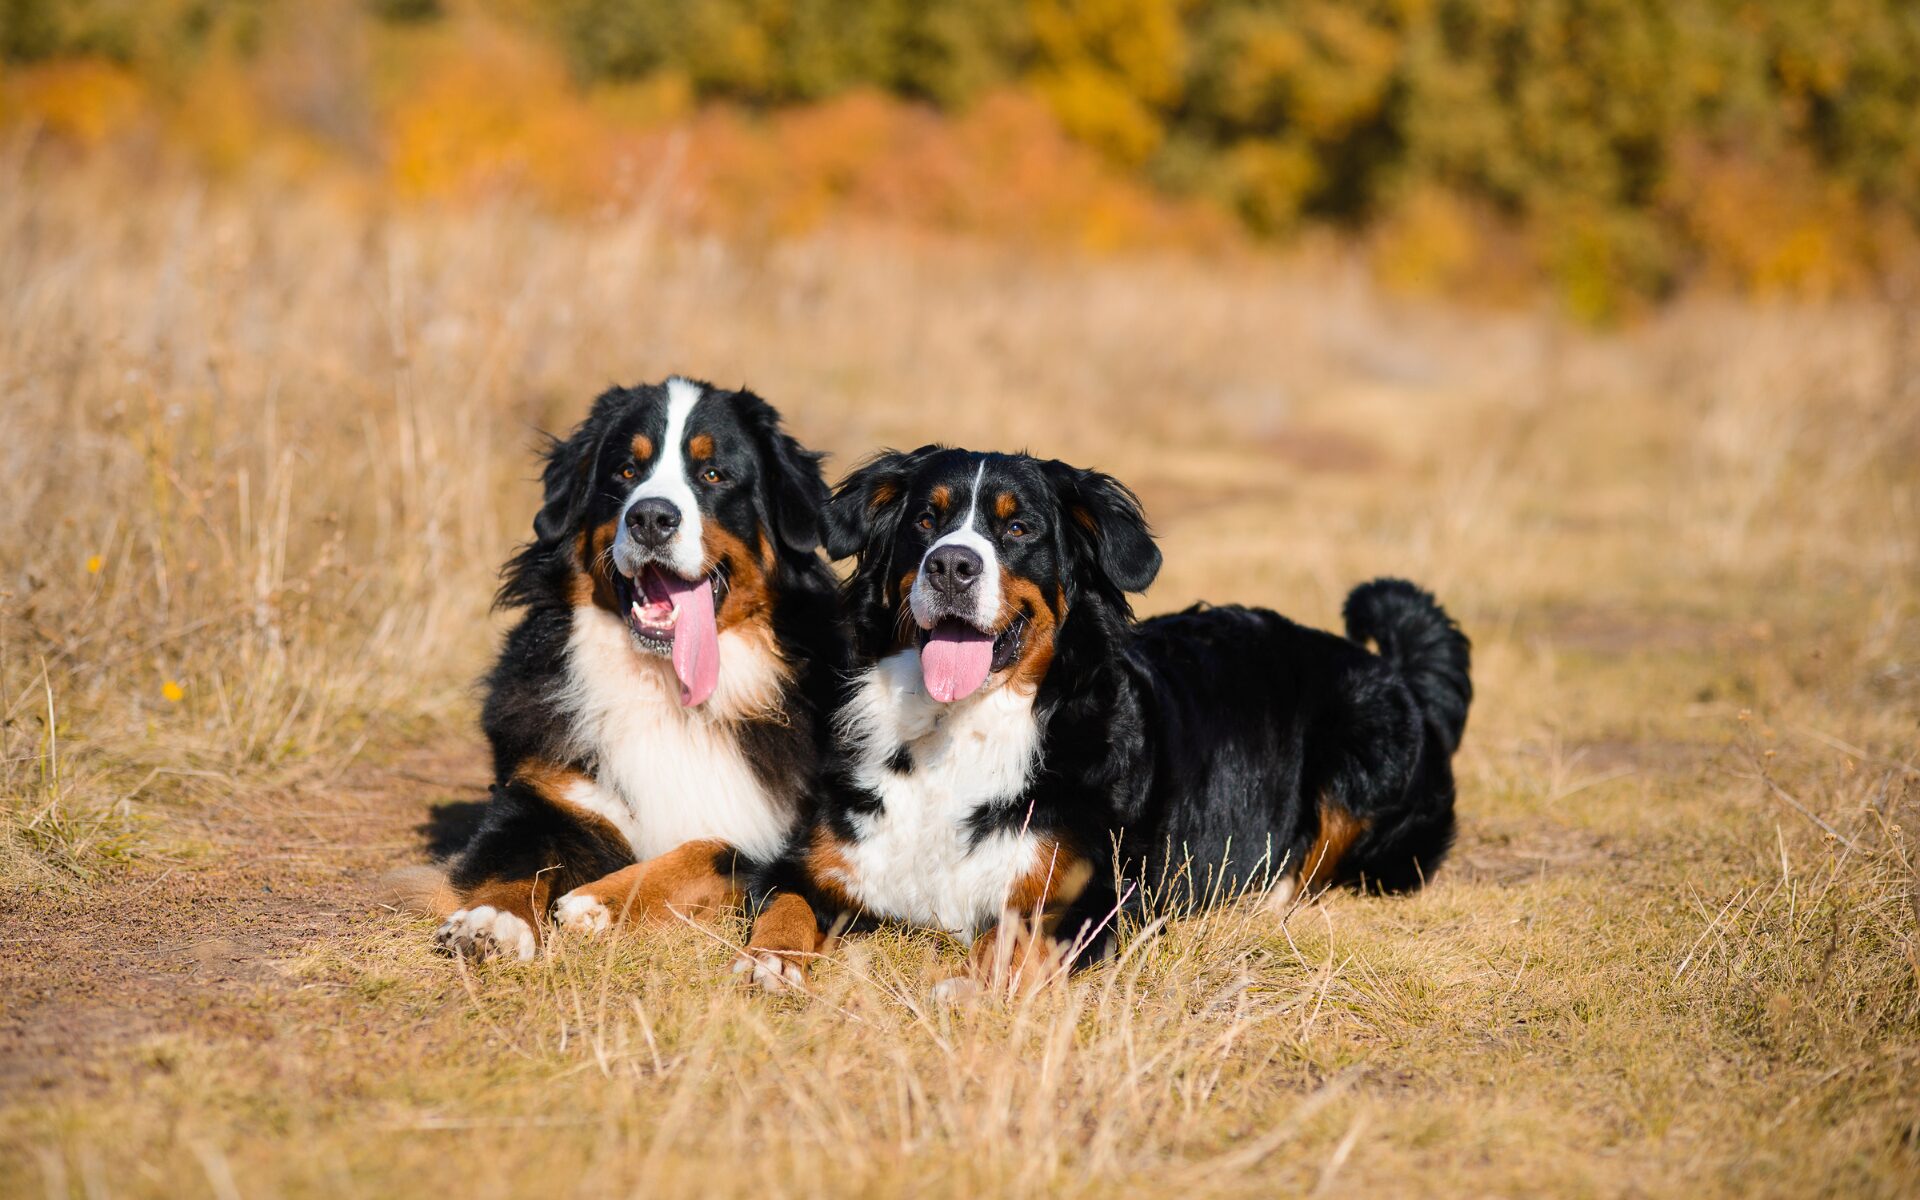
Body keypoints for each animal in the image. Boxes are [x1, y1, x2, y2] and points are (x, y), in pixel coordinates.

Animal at [435, 378, 840, 960]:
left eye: (713, 474)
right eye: (626, 471)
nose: (650, 517)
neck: (668, 687)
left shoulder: (790, 837)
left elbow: (715, 846)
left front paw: (599, 901)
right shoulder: (545, 791)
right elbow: (517, 859)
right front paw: (491, 921)